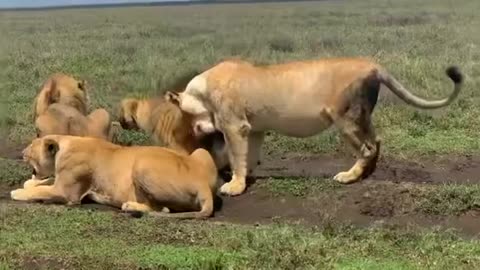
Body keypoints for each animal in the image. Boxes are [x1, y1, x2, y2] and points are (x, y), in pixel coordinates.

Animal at [11, 135, 218, 219]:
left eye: (31, 147)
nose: (21, 152)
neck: (65, 143)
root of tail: (203, 185)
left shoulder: (66, 193)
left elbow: (41, 191)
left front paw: (18, 192)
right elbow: (41, 183)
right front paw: (29, 183)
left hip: (142, 164)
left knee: (163, 209)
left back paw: (130, 206)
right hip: (201, 151)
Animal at [174, 57, 464, 196]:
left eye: (187, 118)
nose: (197, 130)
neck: (202, 89)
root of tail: (373, 65)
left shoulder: (235, 126)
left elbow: (235, 155)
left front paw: (234, 185)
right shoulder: (253, 128)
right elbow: (248, 155)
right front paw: (245, 176)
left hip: (346, 119)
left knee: (367, 147)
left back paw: (349, 177)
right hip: (361, 117)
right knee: (377, 140)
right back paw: (368, 173)